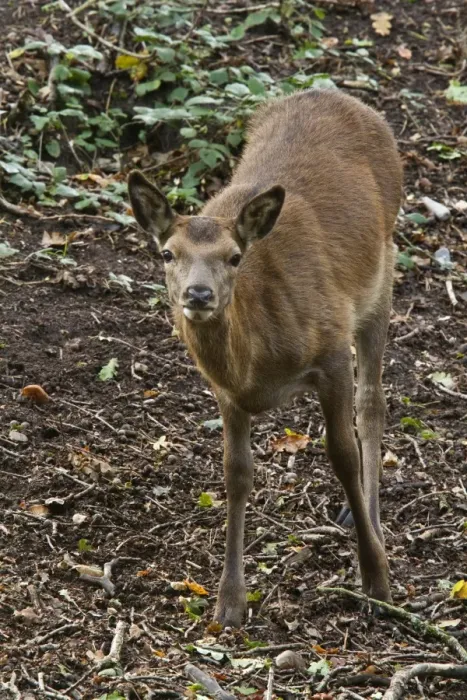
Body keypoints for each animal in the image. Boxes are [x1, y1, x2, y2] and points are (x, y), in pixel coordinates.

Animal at [128, 88, 403, 628]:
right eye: (167, 253)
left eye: (235, 257)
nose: (198, 294)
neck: (260, 363)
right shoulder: (226, 392)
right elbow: (236, 475)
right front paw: (229, 602)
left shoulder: (332, 347)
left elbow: (342, 453)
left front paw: (376, 578)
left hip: (382, 276)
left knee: (373, 402)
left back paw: (372, 521)